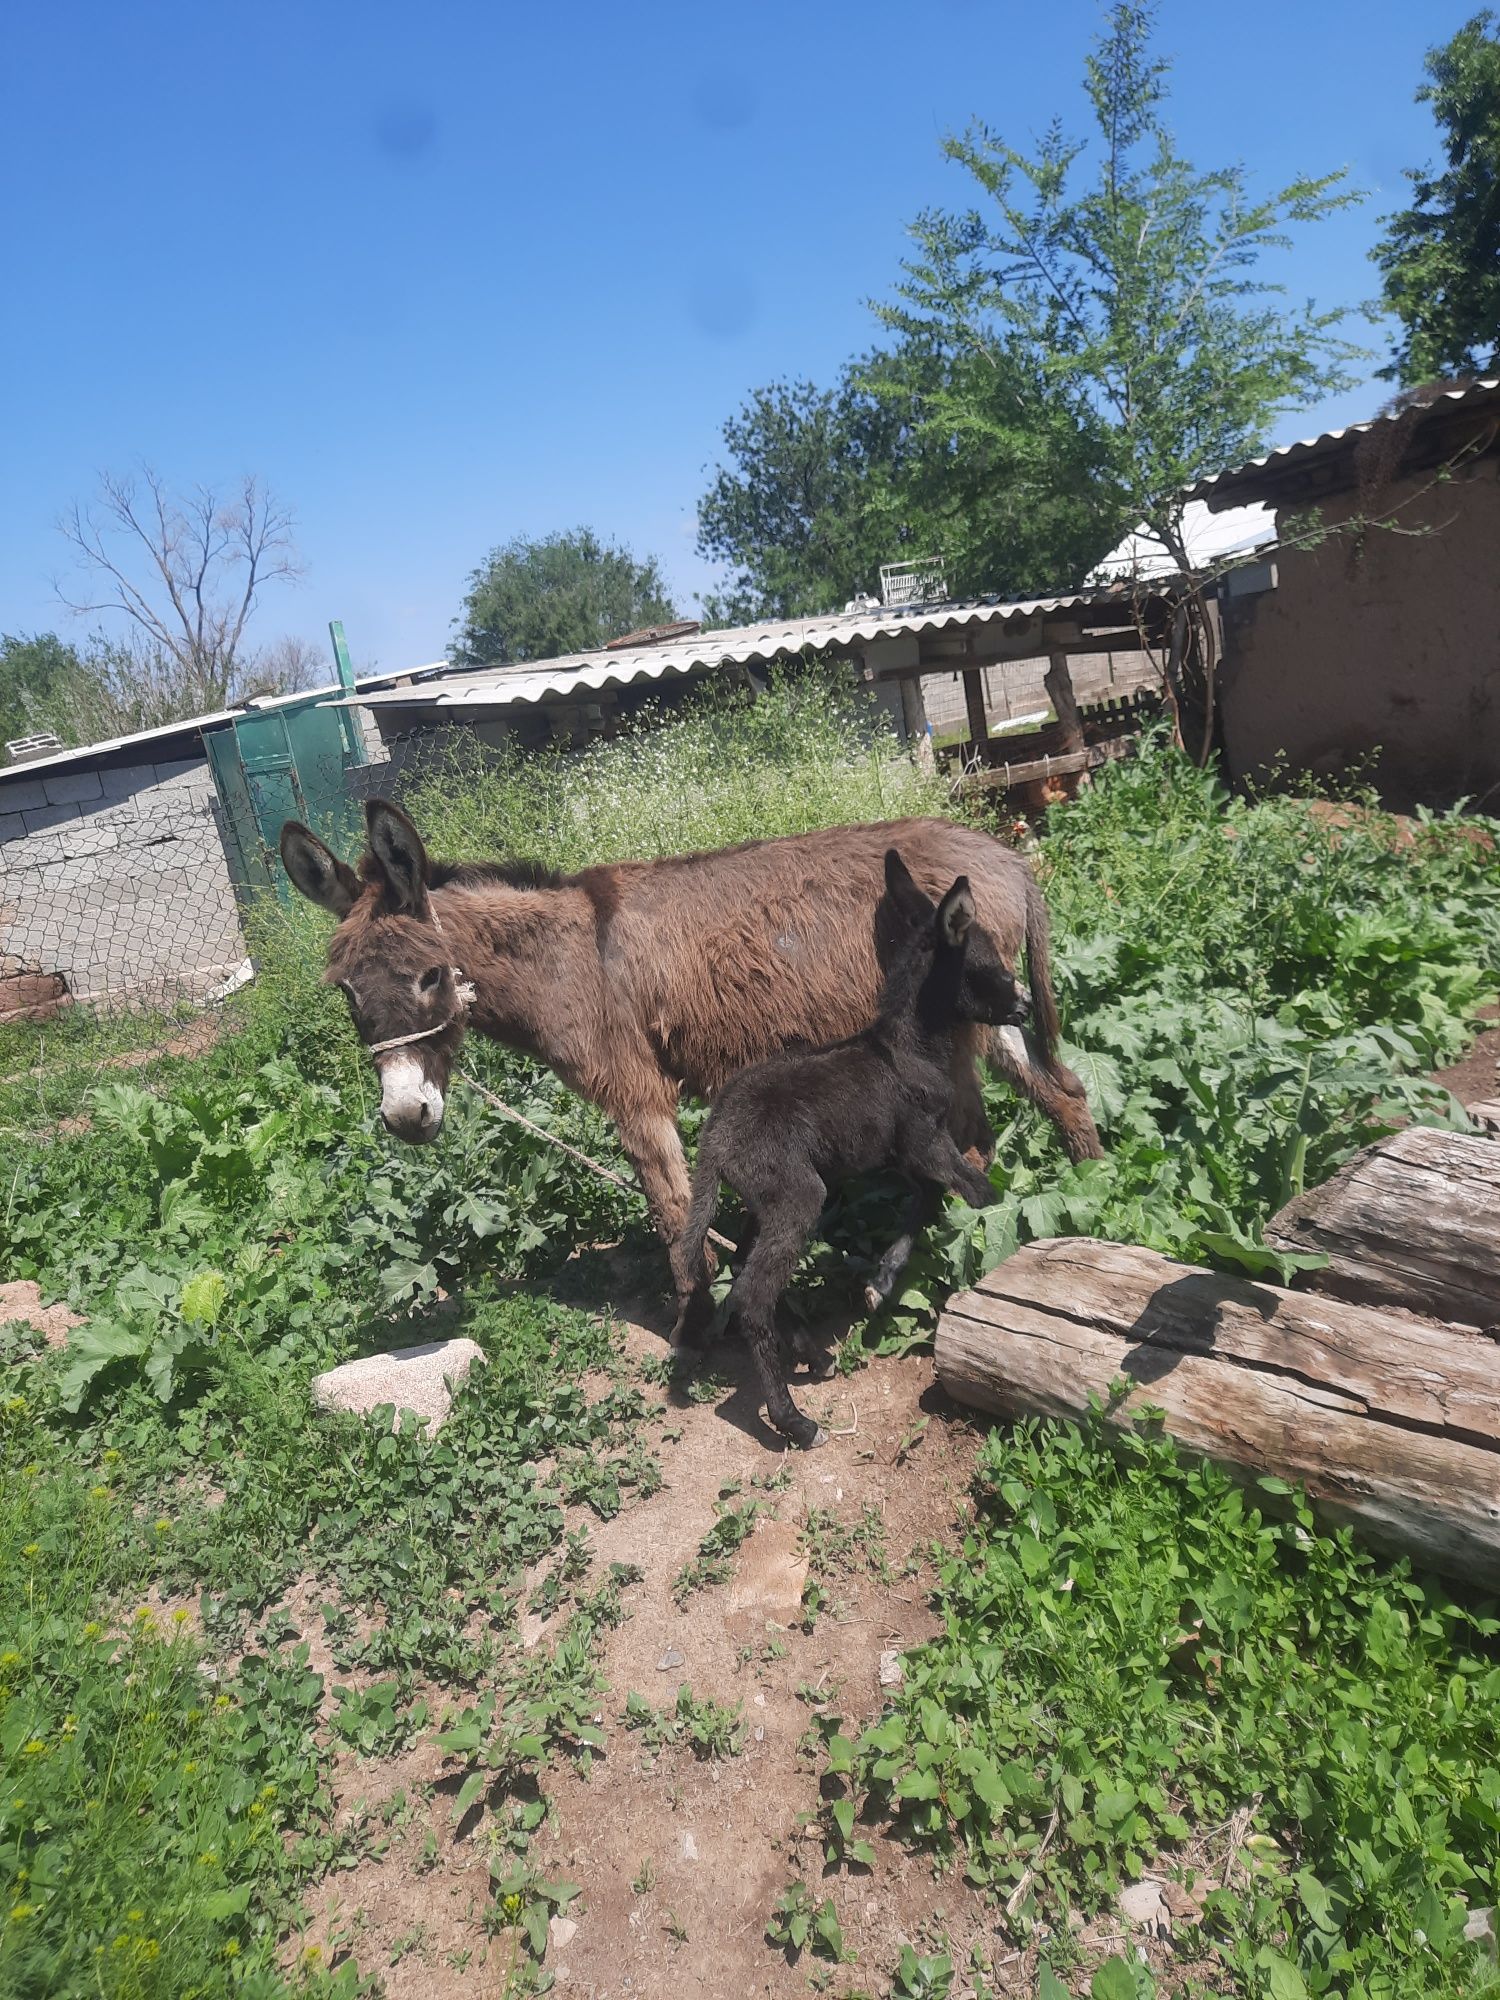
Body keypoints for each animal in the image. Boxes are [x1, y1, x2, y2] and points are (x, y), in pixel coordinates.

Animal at [672, 848, 1032, 1456]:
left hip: (765, 1200)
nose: (1024, 1006)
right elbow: (975, 1193)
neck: (909, 1047)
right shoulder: (925, 1142)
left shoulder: (897, 1156)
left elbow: (927, 1201)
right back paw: (796, 1421)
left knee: (744, 1269)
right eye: (989, 963)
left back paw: (813, 1355)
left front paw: (879, 1281)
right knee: (751, 1295)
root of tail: (715, 1140)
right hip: (798, 1193)